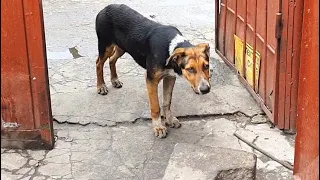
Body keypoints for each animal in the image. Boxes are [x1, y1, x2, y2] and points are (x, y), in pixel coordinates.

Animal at [94, 4, 210, 139]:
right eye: (190, 69)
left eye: (206, 66)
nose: (205, 90)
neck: (169, 49)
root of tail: (106, 8)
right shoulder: (151, 80)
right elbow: (155, 106)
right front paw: (158, 127)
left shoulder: (170, 77)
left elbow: (167, 101)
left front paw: (169, 119)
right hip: (105, 46)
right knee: (99, 63)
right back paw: (101, 86)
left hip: (122, 47)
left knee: (112, 60)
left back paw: (115, 80)